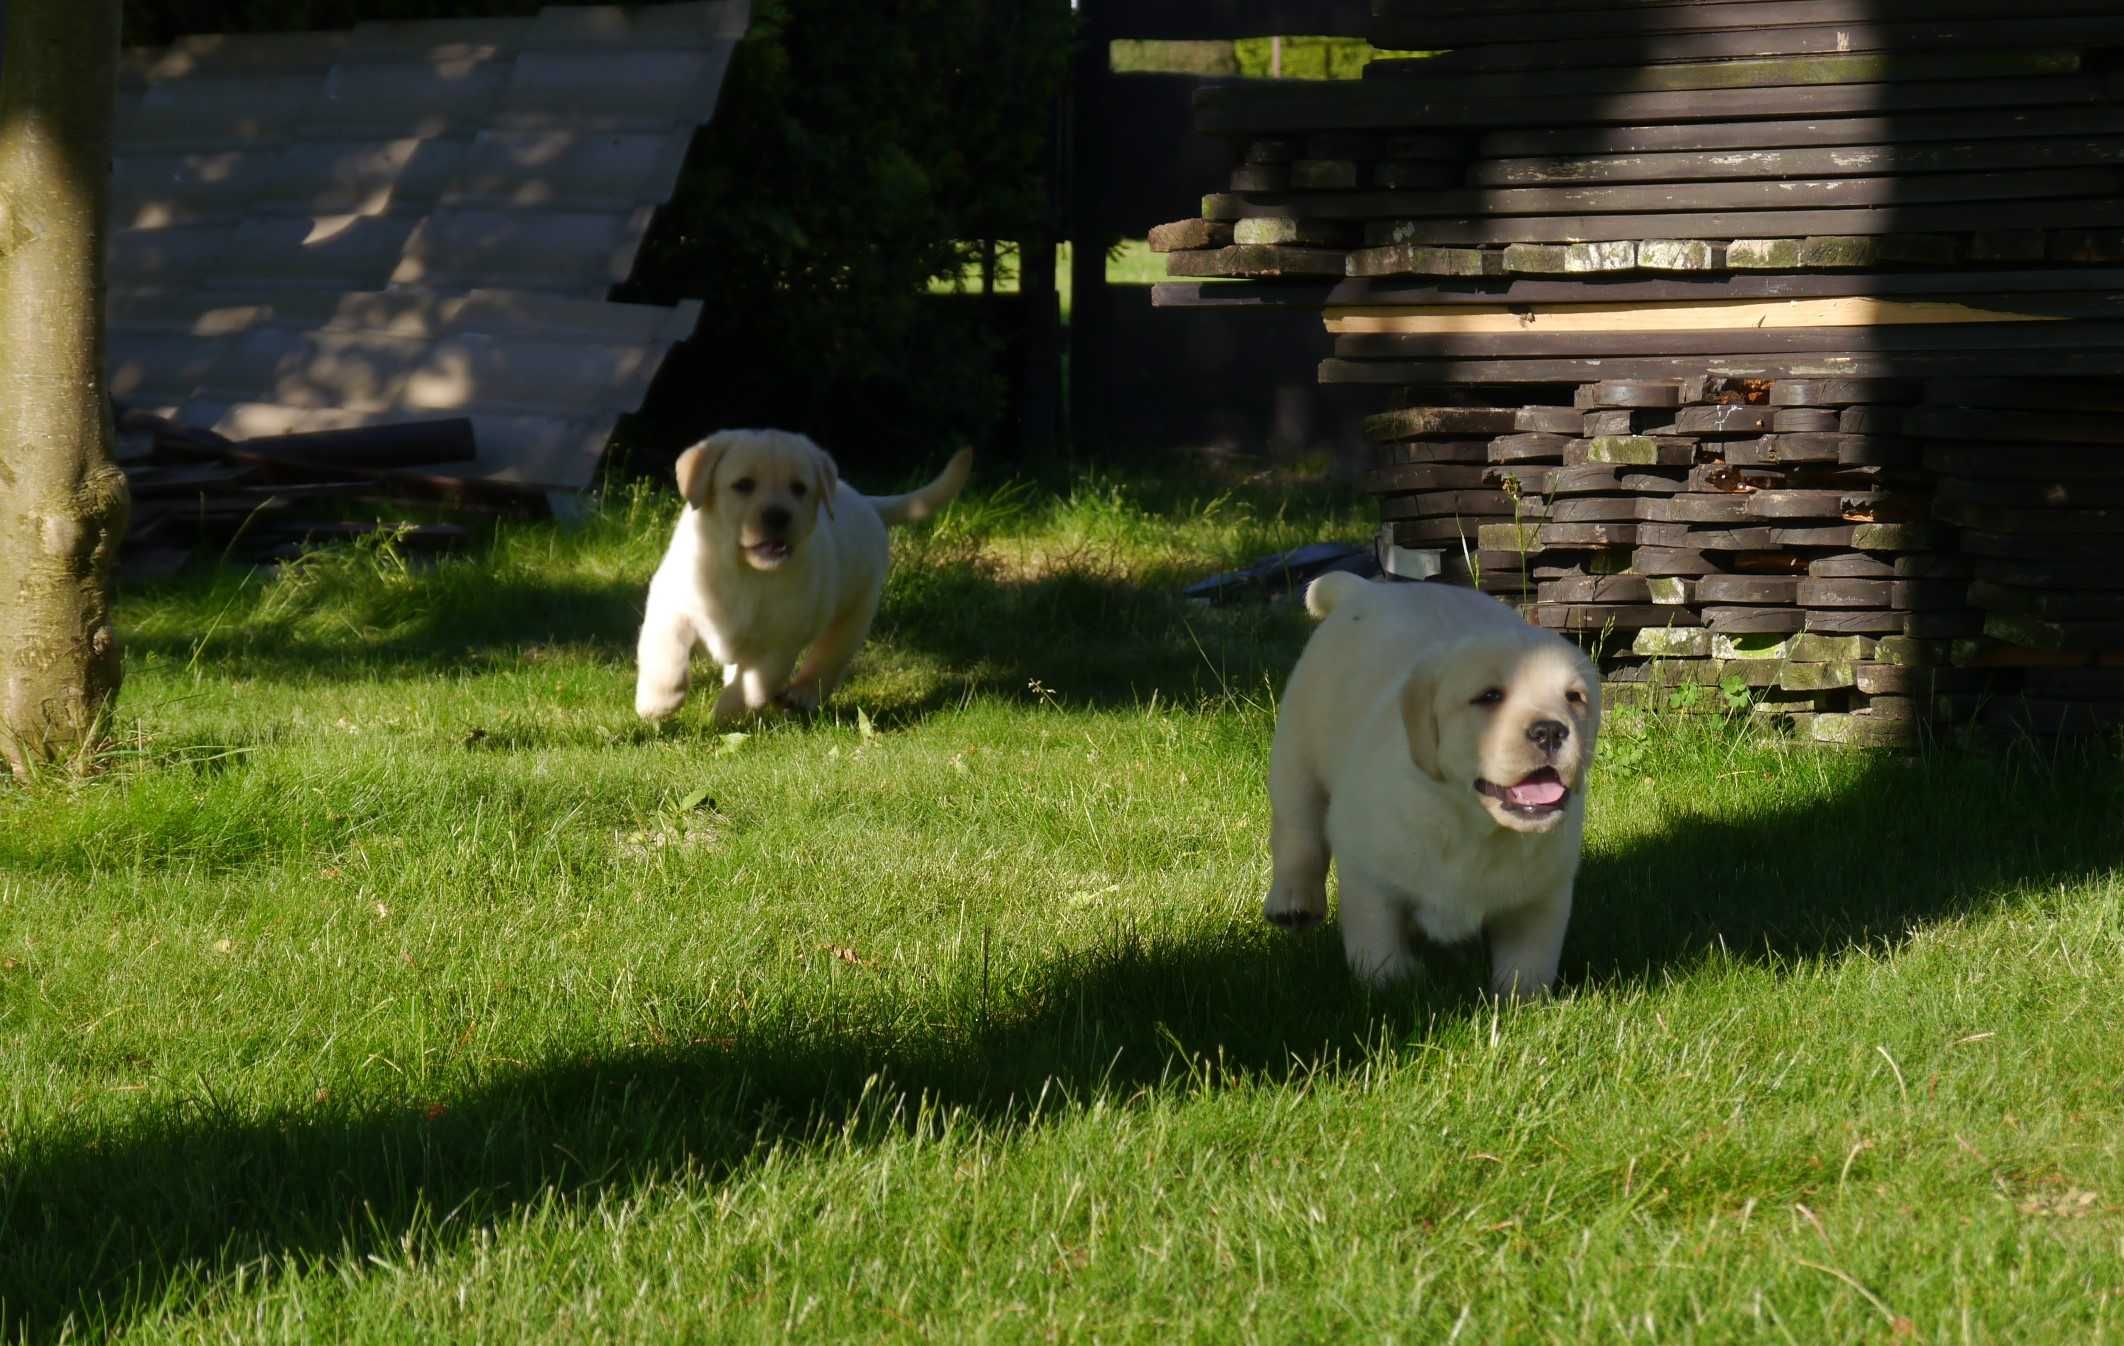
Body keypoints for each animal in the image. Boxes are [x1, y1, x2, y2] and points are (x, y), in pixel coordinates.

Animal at [624, 428, 968, 721]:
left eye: (799, 489)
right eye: (743, 485)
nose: (777, 515)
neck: (746, 573)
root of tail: (865, 501)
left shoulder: (781, 641)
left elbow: (755, 686)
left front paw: (726, 713)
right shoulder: (672, 605)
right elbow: (665, 653)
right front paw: (657, 702)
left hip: (855, 612)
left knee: (828, 659)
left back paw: (801, 694)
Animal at [1257, 568, 1597, 997]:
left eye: (1574, 697)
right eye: (1489, 696)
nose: (1551, 731)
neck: (1472, 826)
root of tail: (1367, 590)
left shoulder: (1543, 892)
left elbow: (1530, 955)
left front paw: (1522, 998)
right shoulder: (1369, 873)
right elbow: (1376, 934)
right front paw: (1390, 982)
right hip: (1297, 751)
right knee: (1298, 831)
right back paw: (1293, 902)